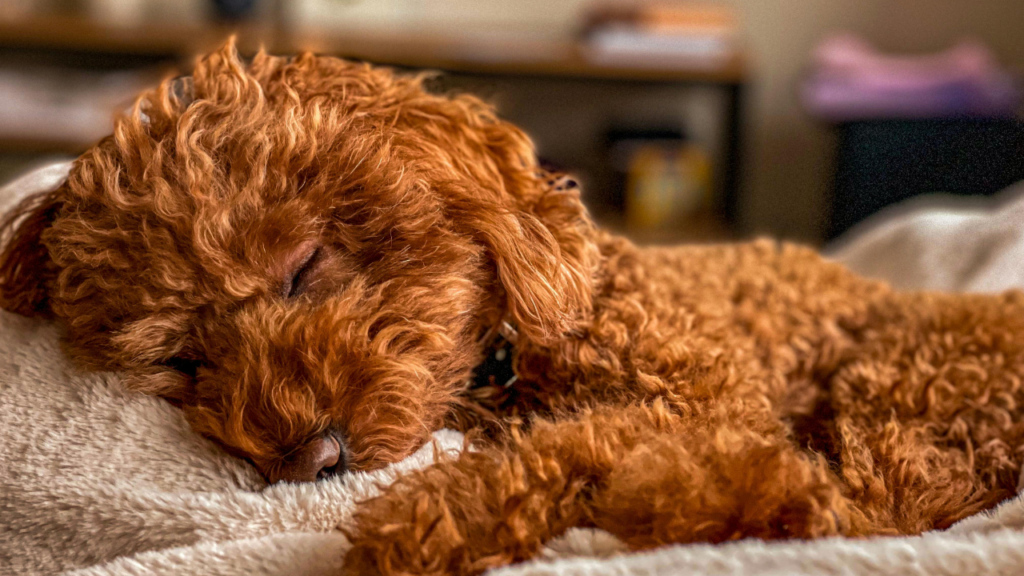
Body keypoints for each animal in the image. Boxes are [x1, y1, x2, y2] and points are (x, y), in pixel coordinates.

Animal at [2, 41, 1024, 573]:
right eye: (182, 357)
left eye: (301, 268)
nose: (312, 461)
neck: (510, 356)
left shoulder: (705, 397)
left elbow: (585, 441)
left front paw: (425, 524)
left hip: (910, 380)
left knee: (865, 501)